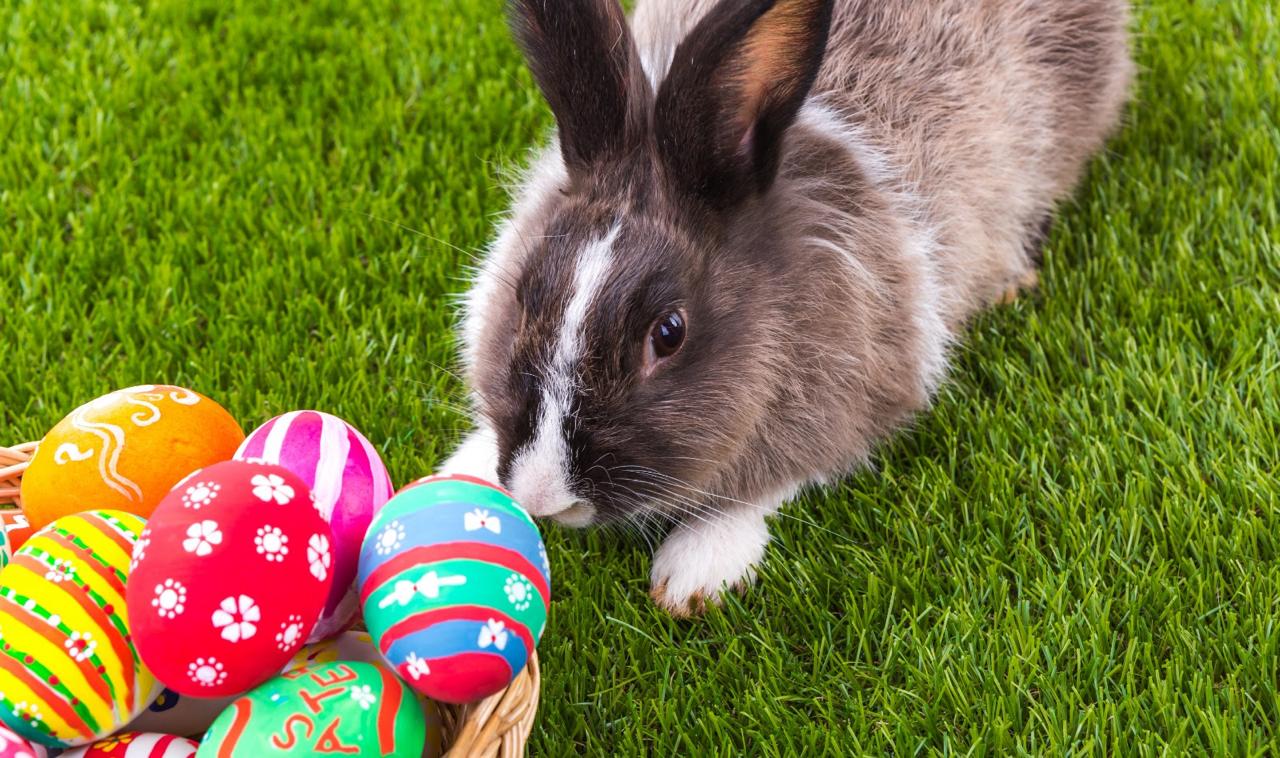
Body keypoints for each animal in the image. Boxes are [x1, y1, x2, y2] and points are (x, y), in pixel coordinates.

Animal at [445, 0, 1136, 614]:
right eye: (525, 292)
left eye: (668, 333)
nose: (542, 497)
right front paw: (463, 469)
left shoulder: (862, 392)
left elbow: (772, 482)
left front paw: (696, 572)